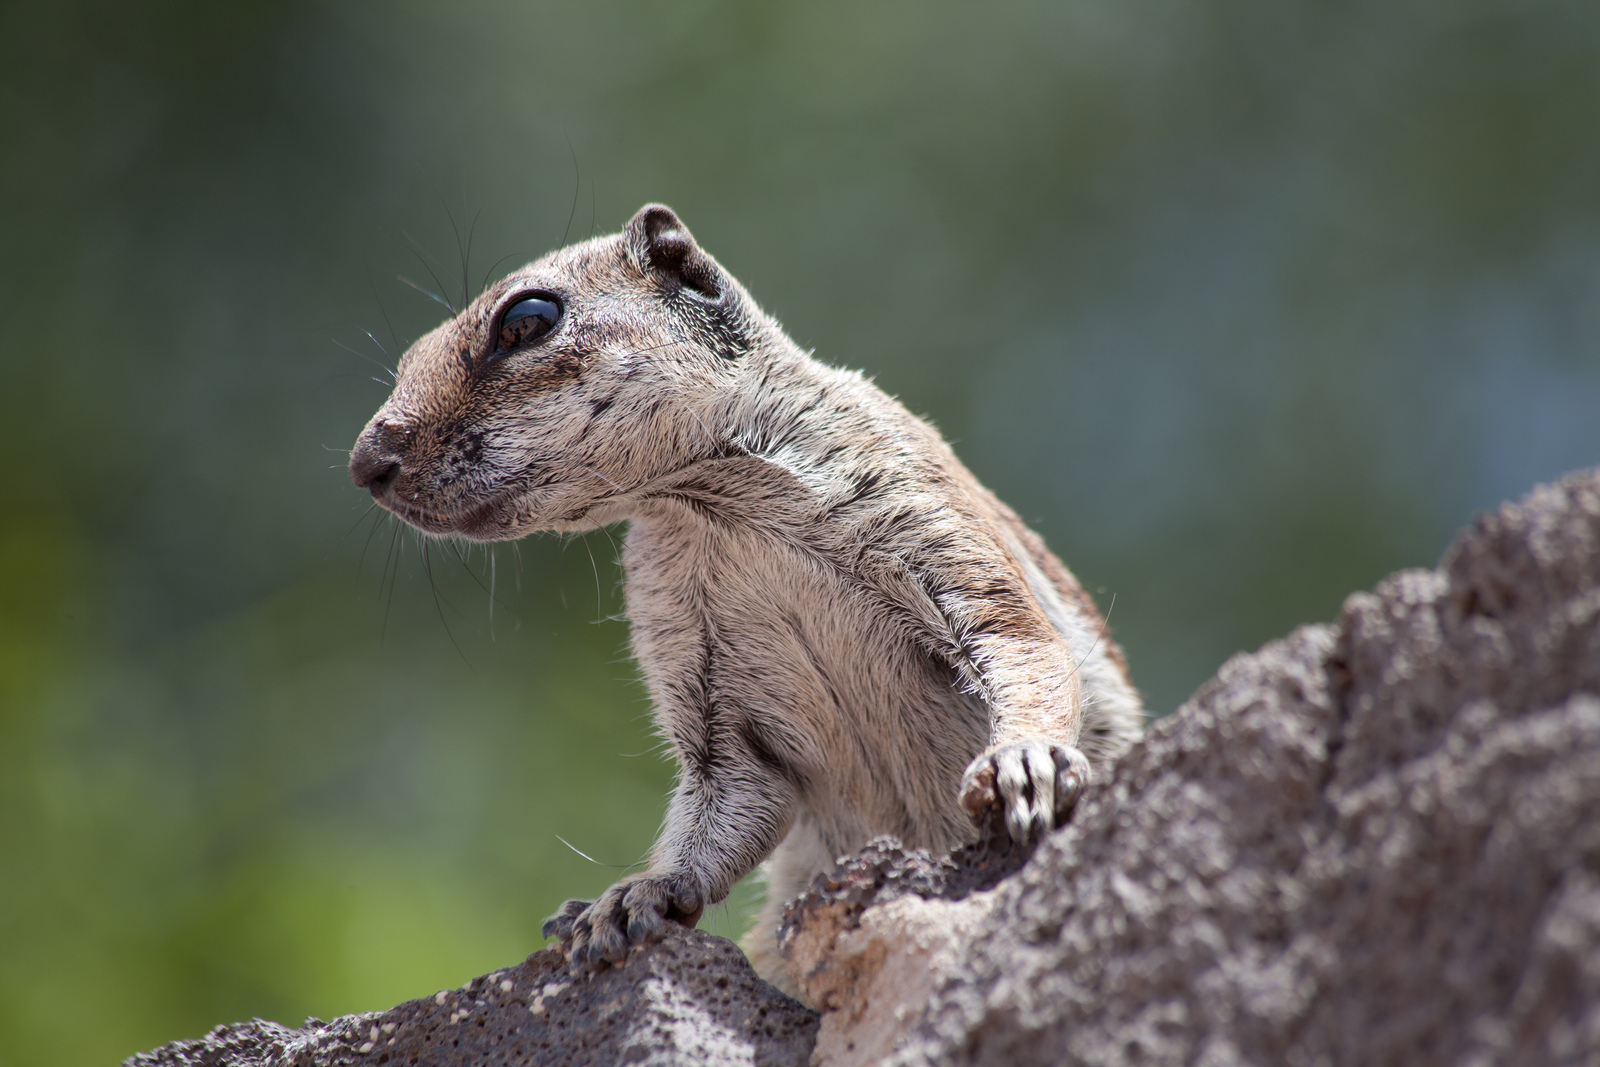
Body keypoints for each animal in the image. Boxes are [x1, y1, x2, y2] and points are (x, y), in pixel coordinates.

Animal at [353, 204, 1152, 991]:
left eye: (527, 319)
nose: (366, 463)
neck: (713, 505)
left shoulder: (930, 517)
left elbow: (1023, 645)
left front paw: (1025, 761)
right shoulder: (694, 660)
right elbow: (728, 796)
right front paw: (633, 895)